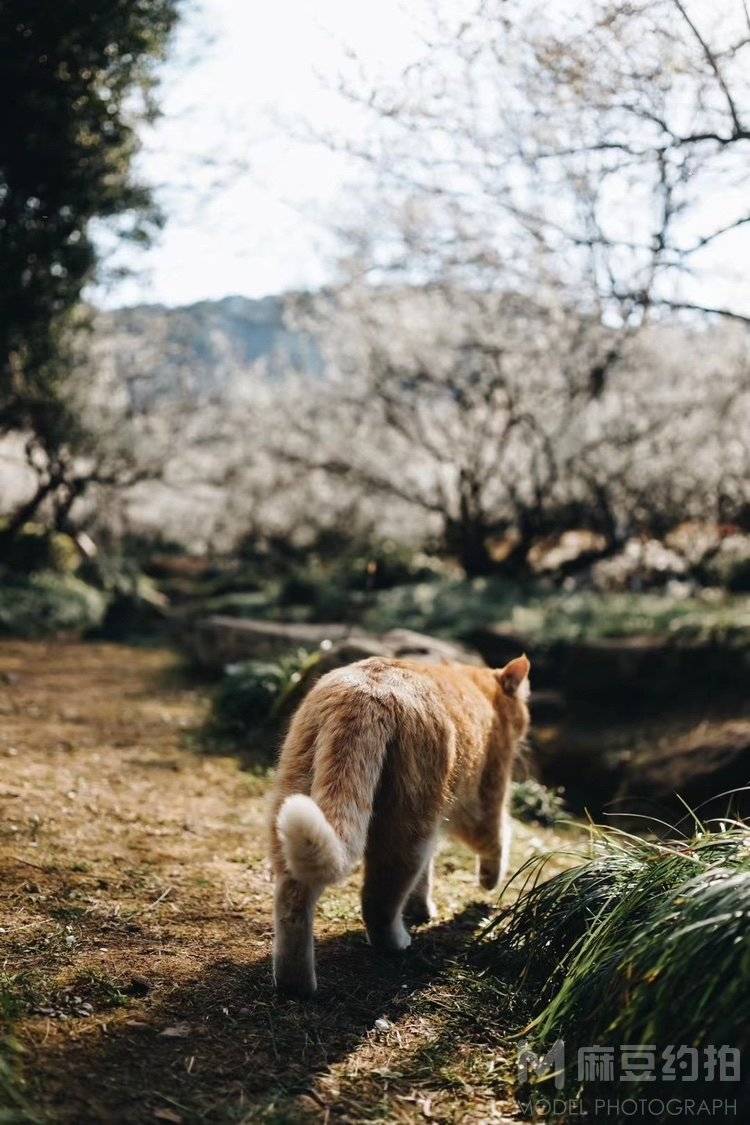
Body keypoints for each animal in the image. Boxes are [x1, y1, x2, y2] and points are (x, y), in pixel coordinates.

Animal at [266, 652, 530, 994]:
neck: (481, 690)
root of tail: (363, 694)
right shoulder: (482, 802)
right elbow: (498, 841)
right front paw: (489, 881)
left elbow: (425, 877)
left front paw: (420, 908)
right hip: (407, 829)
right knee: (379, 902)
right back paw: (397, 942)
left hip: (294, 796)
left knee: (293, 898)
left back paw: (295, 983)